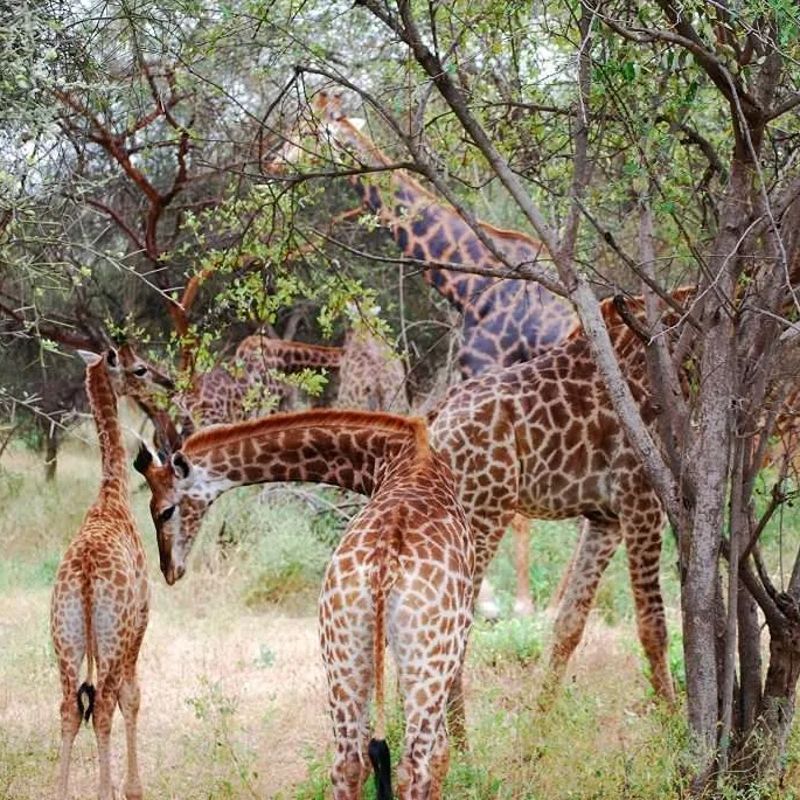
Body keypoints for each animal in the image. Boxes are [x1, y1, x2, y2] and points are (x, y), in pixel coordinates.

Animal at [133, 409, 473, 799]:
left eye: (165, 510)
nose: (169, 569)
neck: (398, 454)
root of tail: (383, 568)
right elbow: (442, 752)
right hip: (427, 658)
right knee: (414, 766)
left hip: (342, 648)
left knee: (349, 763)